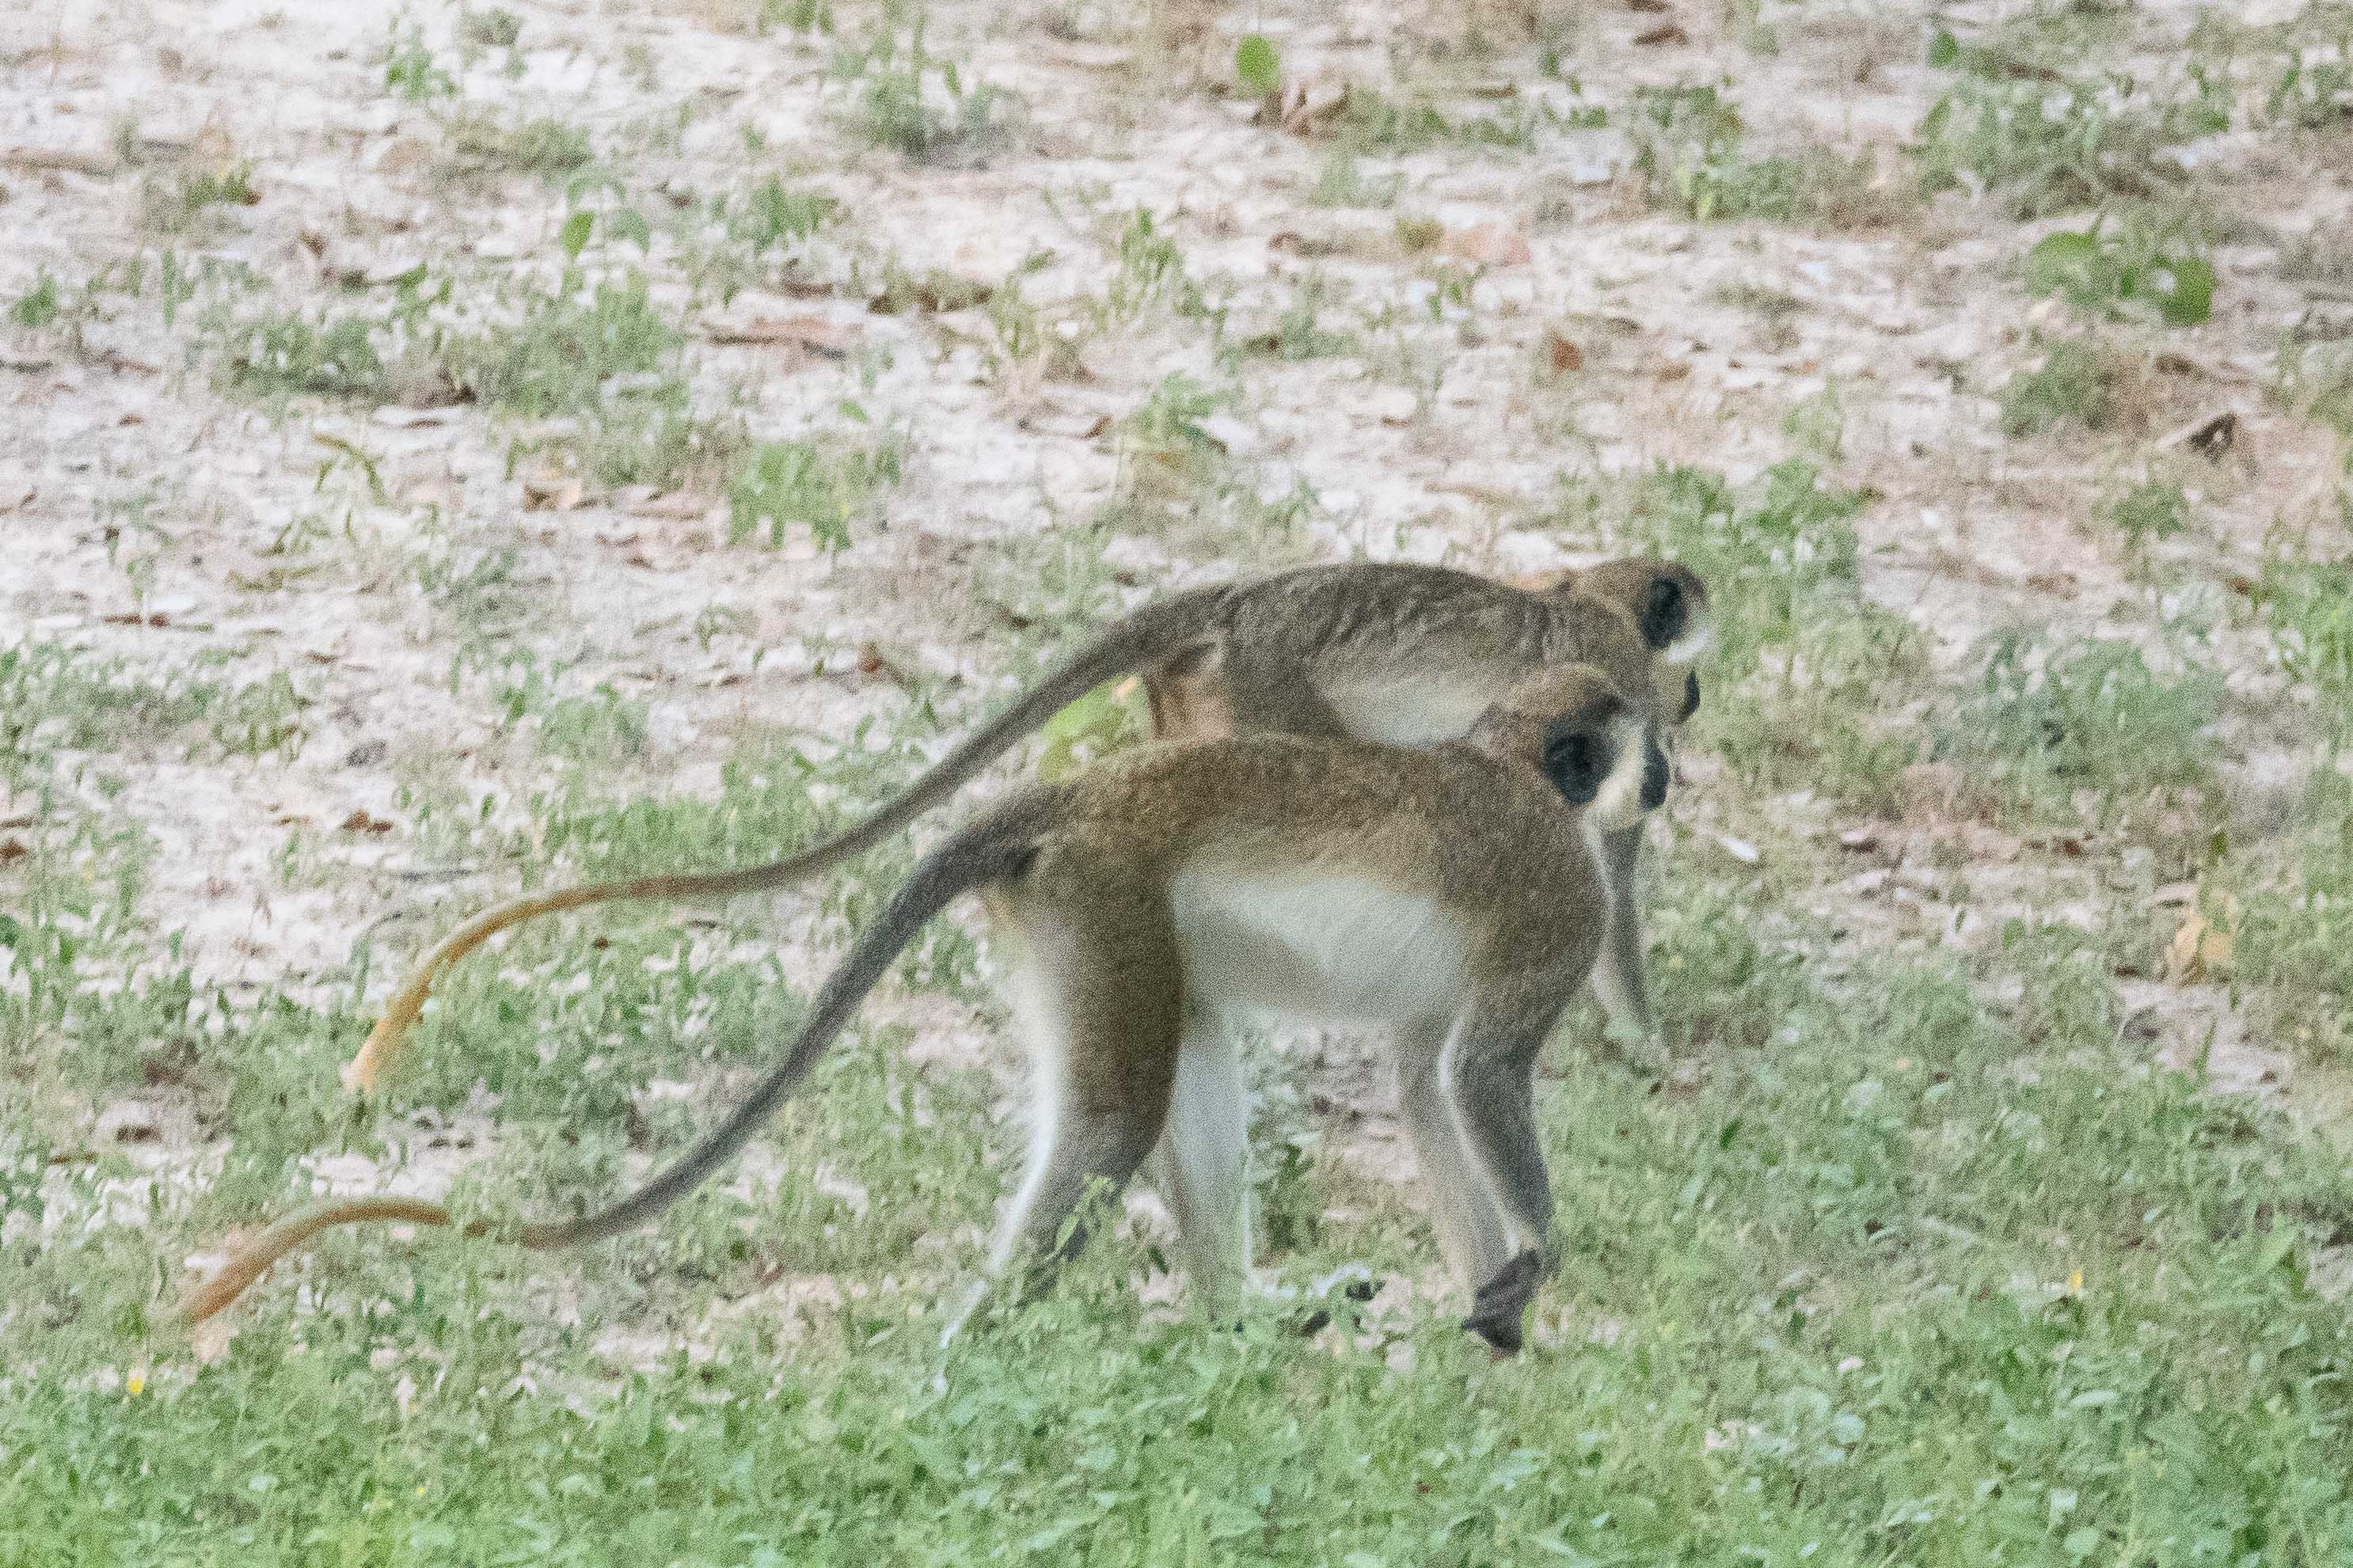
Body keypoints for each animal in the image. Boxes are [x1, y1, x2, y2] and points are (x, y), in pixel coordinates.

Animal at [192, 658, 1675, 1353]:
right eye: (1644, 738)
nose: (1666, 777)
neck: (1510, 764)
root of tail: (1074, 798)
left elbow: (1430, 1084)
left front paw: (1494, 1314)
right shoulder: (1560, 901)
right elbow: (1482, 1076)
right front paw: (1534, 1266)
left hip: (1087, 919)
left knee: (1174, 1066)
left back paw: (1234, 1320)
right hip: (1103, 897)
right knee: (1113, 1122)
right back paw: (976, 1357)